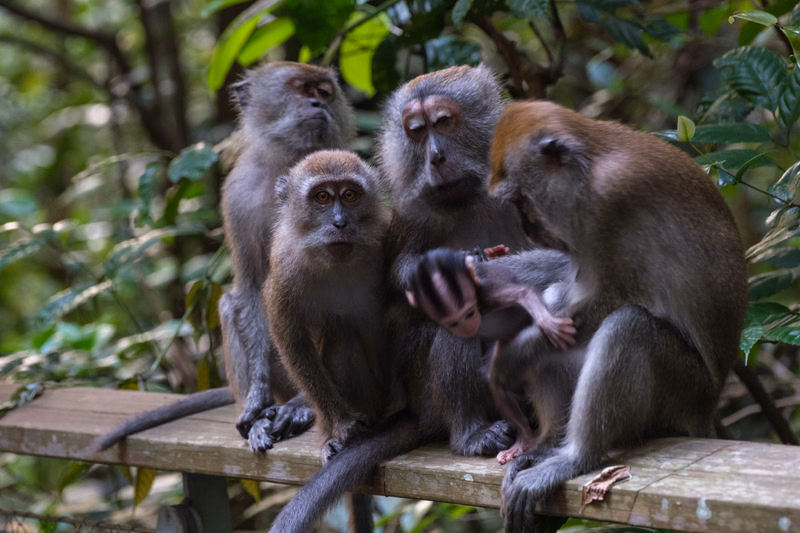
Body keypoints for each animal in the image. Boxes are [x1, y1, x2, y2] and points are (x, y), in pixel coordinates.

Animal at [91, 62, 356, 454]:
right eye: (302, 89)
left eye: (324, 92)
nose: (317, 103)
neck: (287, 165)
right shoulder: (237, 195)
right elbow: (251, 288)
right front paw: (257, 398)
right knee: (232, 303)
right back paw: (262, 413)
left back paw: (301, 406)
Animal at [266, 65, 536, 533]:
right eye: (416, 131)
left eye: (443, 123)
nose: (435, 158)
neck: (465, 193)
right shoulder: (410, 204)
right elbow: (401, 277)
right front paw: (449, 271)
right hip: (427, 395)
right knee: (458, 320)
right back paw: (471, 433)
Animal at [474, 101, 748, 532]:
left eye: (520, 198)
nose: (528, 227)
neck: (589, 168)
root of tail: (707, 408)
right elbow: (565, 277)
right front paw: (483, 274)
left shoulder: (611, 202)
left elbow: (608, 295)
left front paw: (512, 354)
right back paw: (547, 444)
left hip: (684, 390)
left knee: (628, 327)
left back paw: (575, 458)